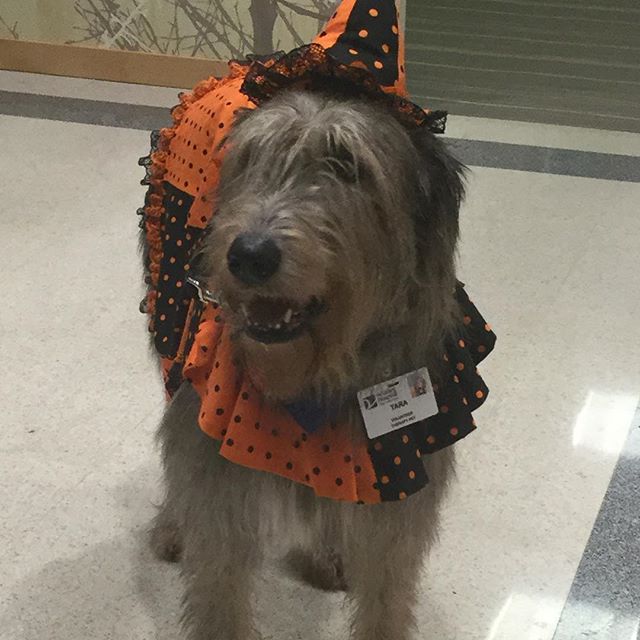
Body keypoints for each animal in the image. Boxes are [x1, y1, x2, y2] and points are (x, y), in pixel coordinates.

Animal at [150, 89, 464, 640]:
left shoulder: (402, 480)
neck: (319, 374)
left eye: (349, 165)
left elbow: (386, 596)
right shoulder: (216, 475)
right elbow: (218, 584)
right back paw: (172, 523)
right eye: (251, 157)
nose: (249, 255)